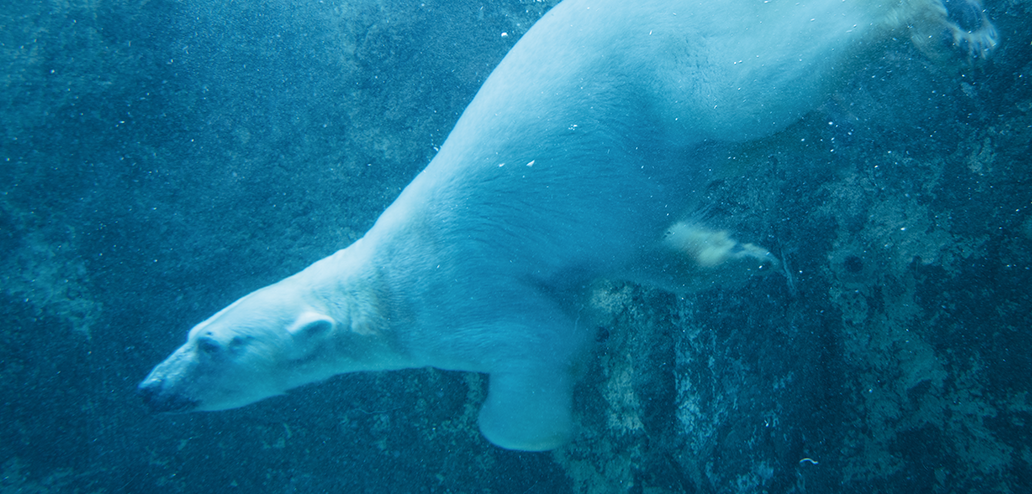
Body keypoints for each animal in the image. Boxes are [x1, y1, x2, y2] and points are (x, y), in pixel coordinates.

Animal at [141, 0, 994, 449]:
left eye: (209, 343)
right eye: (188, 334)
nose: (150, 388)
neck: (374, 289)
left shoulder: (460, 301)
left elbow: (541, 348)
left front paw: (540, 425)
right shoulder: (602, 242)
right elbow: (651, 252)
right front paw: (740, 258)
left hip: (663, 61)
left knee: (754, 82)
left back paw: (941, 30)